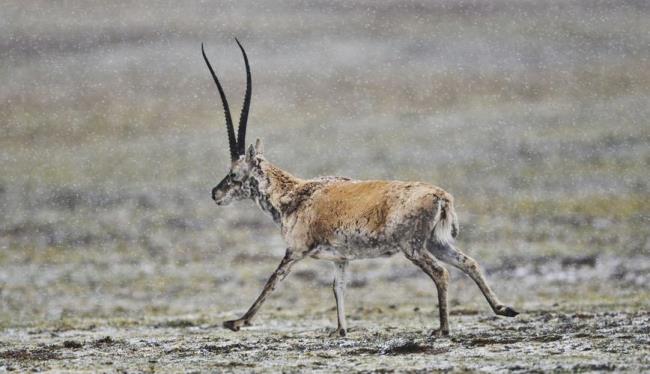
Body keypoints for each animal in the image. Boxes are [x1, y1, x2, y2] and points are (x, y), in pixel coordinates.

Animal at [202, 39, 516, 338]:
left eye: (234, 173)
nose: (215, 193)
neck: (294, 194)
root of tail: (441, 196)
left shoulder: (295, 250)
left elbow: (272, 281)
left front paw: (237, 322)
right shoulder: (341, 259)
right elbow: (338, 288)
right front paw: (341, 330)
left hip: (413, 247)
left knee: (442, 273)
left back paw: (443, 329)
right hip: (436, 243)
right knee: (468, 262)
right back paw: (504, 309)